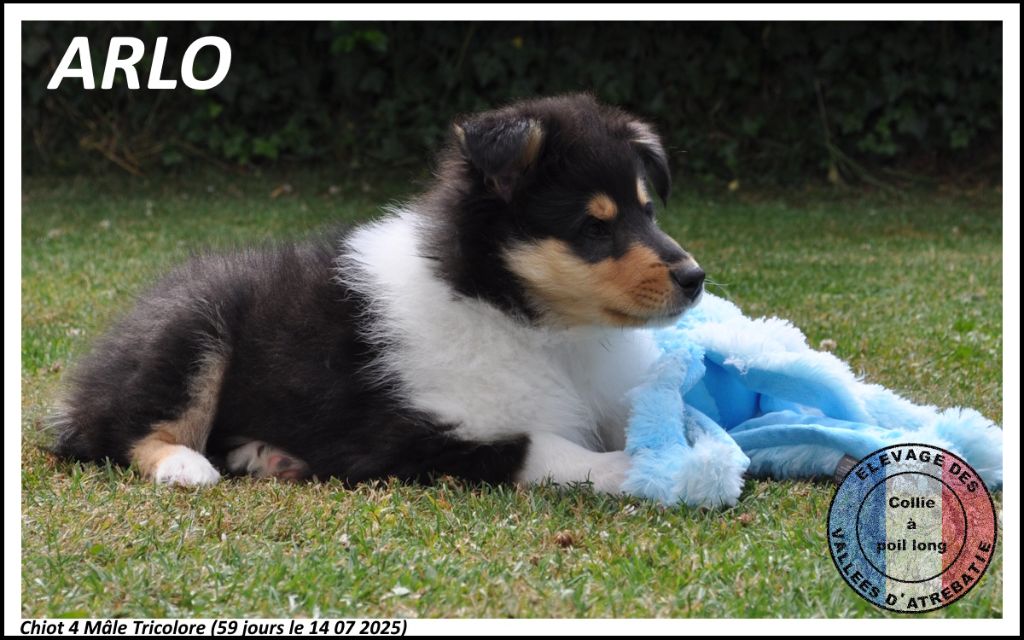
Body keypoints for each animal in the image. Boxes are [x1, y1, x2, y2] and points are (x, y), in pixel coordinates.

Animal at [50, 94, 705, 493]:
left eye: (647, 212)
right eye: (593, 227)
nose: (695, 279)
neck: (535, 326)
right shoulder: (413, 435)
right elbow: (545, 448)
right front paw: (646, 467)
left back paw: (263, 455)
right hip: (191, 328)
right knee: (123, 430)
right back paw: (187, 466)